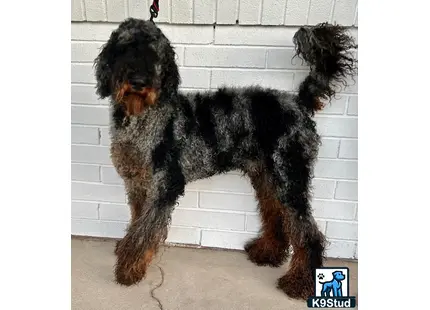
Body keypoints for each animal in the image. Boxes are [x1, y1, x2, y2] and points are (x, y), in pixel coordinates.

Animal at [95, 17, 360, 300]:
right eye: (124, 48)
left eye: (154, 53)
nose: (137, 81)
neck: (142, 119)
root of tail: (298, 102)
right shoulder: (137, 185)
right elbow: (137, 222)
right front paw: (126, 250)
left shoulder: (165, 185)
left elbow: (144, 231)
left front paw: (128, 269)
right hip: (267, 177)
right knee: (276, 216)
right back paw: (267, 253)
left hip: (290, 177)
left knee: (308, 233)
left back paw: (299, 282)